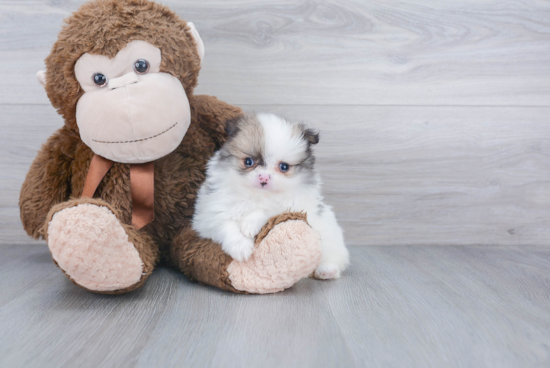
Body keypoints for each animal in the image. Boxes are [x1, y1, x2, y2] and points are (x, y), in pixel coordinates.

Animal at [193, 112, 350, 278]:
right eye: (248, 162)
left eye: (284, 167)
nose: (264, 177)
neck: (257, 195)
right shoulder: (210, 212)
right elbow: (226, 226)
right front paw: (241, 247)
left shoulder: (296, 205)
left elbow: (270, 209)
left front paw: (250, 223)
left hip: (329, 236)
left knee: (333, 257)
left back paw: (327, 270)